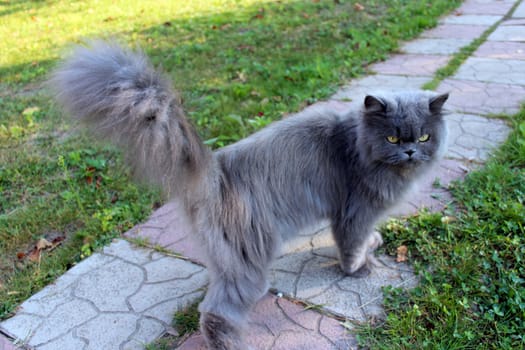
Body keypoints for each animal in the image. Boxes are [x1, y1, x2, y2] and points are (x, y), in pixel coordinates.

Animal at [51, 40, 448, 348]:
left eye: (423, 137)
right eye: (392, 138)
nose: (410, 151)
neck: (358, 147)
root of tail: (214, 170)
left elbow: (363, 239)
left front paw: (374, 244)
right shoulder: (355, 212)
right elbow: (351, 247)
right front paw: (358, 268)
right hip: (249, 258)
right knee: (215, 312)